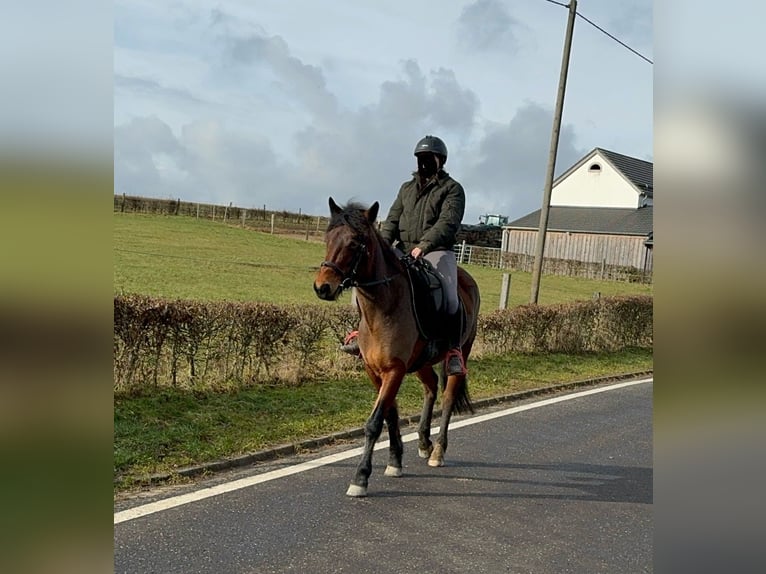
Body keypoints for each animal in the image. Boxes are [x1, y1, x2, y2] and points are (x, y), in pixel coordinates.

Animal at [312, 199, 480, 500]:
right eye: (328, 238)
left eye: (355, 243)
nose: (323, 287)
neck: (383, 307)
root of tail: (466, 279)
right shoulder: (375, 371)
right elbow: (390, 415)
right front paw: (394, 461)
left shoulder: (394, 370)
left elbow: (374, 422)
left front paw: (361, 477)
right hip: (423, 362)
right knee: (430, 387)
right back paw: (424, 442)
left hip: (461, 353)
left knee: (448, 395)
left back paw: (437, 450)